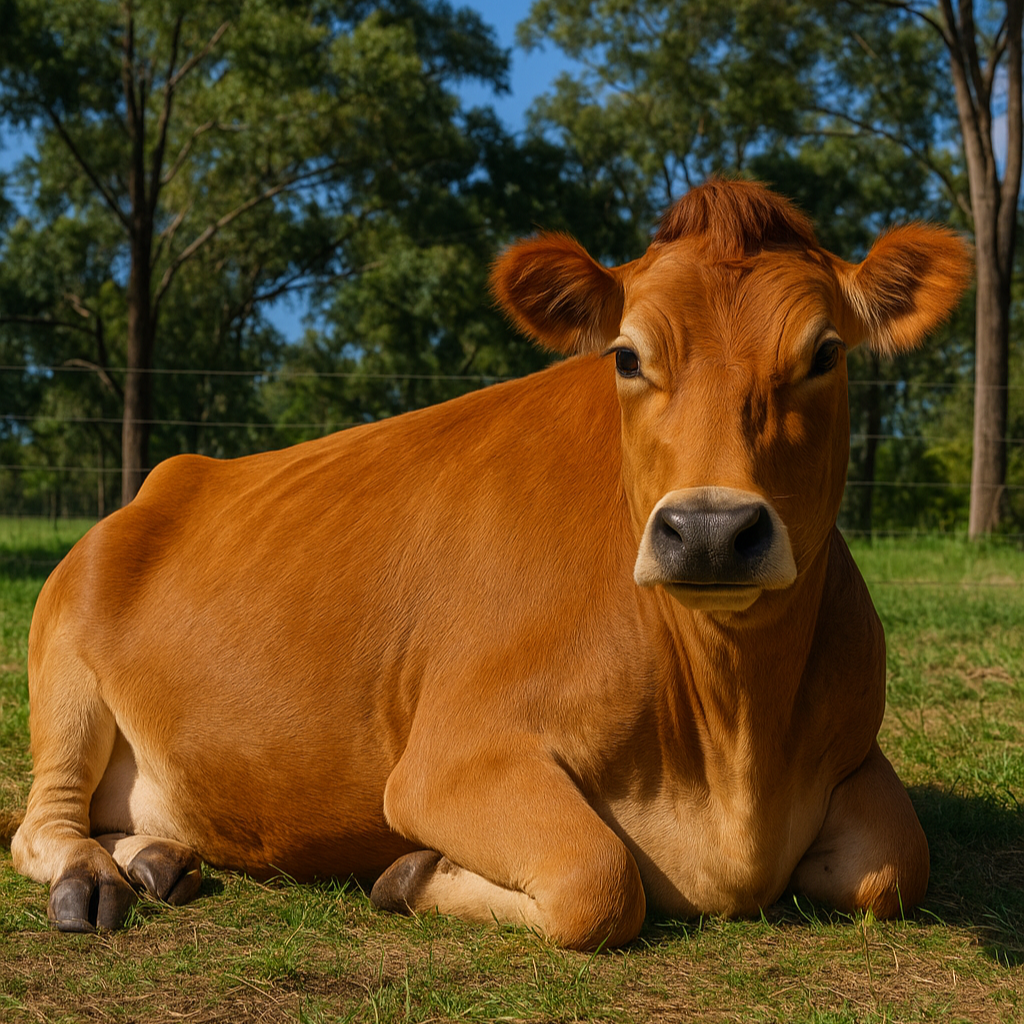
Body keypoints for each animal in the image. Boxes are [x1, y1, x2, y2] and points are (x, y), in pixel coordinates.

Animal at [11, 180, 971, 950]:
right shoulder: (445, 762)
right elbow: (598, 881)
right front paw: (411, 874)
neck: (736, 744)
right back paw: (92, 878)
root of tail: (169, 478)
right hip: (60, 662)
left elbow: (894, 867)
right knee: (38, 821)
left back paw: (157, 858)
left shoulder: (855, 751)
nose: (707, 530)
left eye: (825, 353)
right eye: (627, 355)